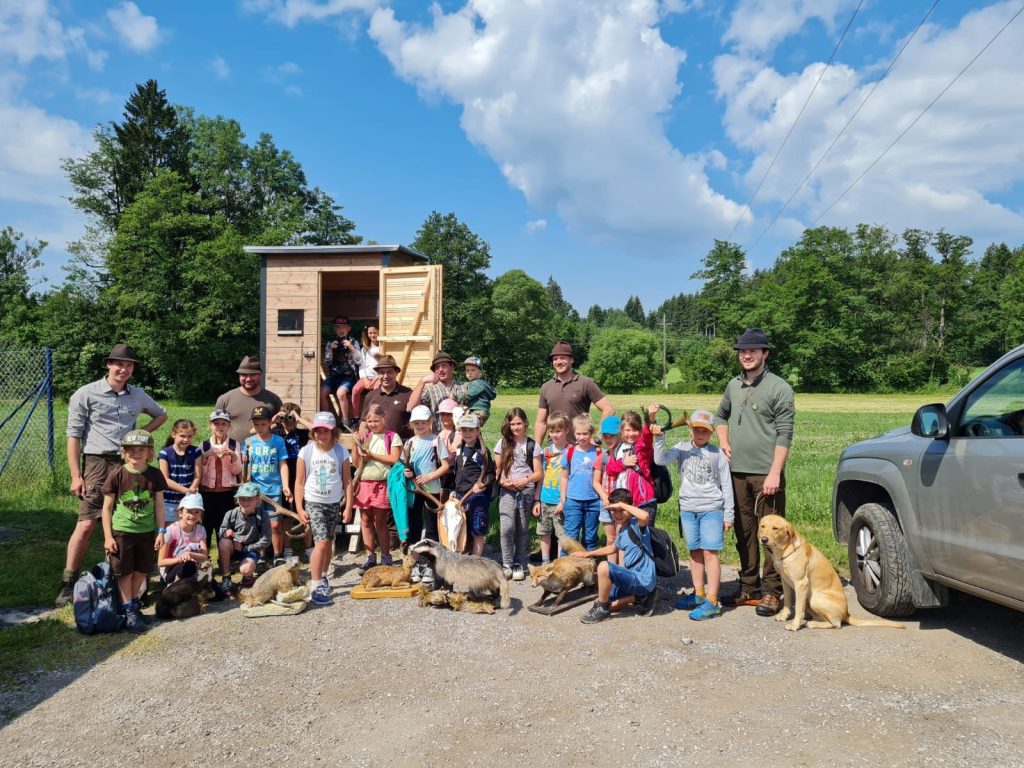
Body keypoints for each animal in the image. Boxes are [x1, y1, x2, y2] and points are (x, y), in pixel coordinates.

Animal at [757, 518, 901, 630]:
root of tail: (846, 613)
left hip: (815, 598)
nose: (764, 539)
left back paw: (812, 623)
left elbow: (798, 607)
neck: (785, 549)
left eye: (776, 528)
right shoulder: (785, 581)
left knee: (835, 624)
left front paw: (795, 624)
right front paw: (784, 616)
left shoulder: (801, 583)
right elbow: (787, 601)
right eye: (762, 526)